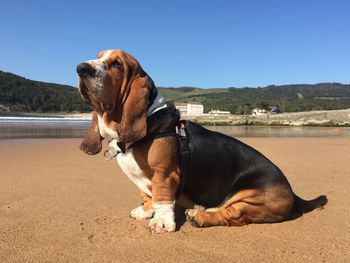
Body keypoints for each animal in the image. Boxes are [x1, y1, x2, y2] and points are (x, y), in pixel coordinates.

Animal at [76, 49, 328, 235]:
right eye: (99, 57)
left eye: (117, 64)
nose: (81, 68)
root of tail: (292, 192)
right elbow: (148, 196)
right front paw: (145, 210)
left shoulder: (165, 175)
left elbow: (162, 199)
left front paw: (162, 223)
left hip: (252, 199)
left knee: (233, 217)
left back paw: (200, 216)